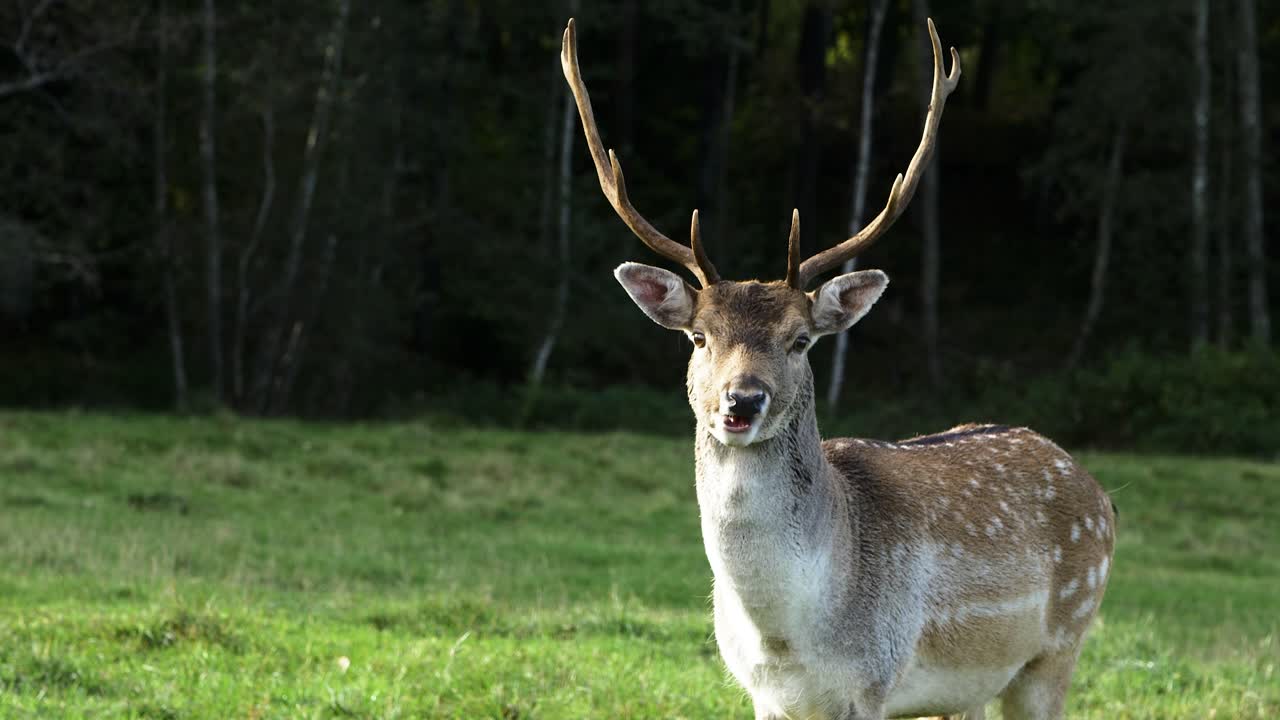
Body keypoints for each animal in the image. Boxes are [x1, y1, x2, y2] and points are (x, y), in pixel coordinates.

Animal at [560, 17, 1115, 720]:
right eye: (699, 336)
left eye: (801, 341)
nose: (742, 400)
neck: (785, 637)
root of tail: (1099, 491)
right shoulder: (763, 693)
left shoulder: (871, 682)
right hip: (966, 691)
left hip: (1059, 645)